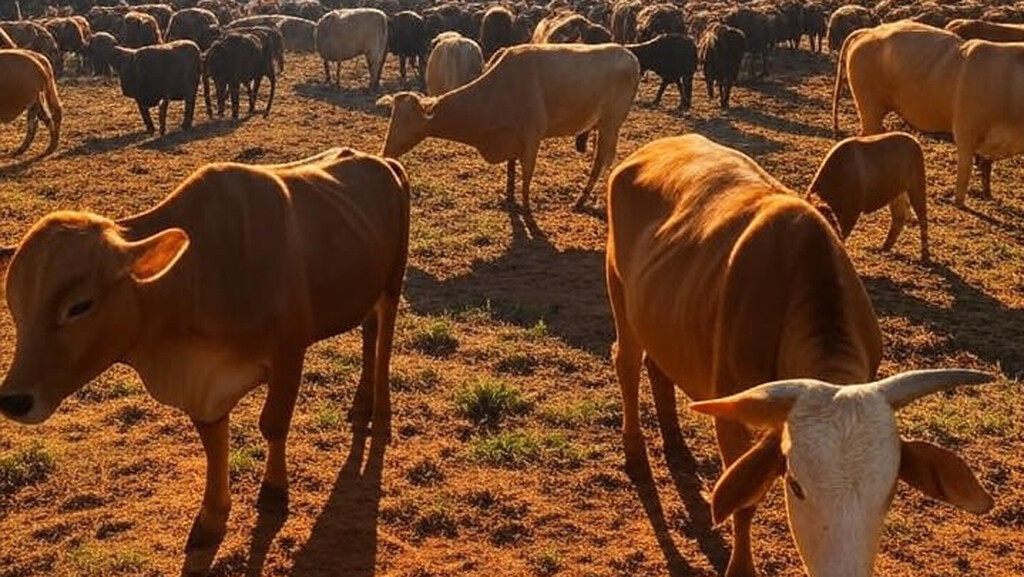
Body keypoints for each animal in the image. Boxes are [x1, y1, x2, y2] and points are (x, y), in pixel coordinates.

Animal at [0, 147, 410, 571]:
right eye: (14, 305)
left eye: (79, 306)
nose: (14, 400)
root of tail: (382, 161)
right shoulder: (203, 383)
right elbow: (213, 443)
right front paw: (212, 519)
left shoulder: (288, 352)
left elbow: (273, 425)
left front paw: (274, 491)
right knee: (369, 332)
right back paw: (360, 405)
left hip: (392, 284)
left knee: (383, 343)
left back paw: (380, 413)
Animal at [378, 43, 639, 212]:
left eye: (406, 121)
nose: (385, 152)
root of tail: (628, 54)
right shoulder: (512, 138)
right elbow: (511, 170)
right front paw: (510, 197)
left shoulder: (532, 138)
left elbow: (526, 174)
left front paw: (525, 206)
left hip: (611, 124)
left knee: (602, 161)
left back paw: (584, 201)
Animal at [807, 132, 929, 262]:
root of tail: (915, 141)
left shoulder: (852, 213)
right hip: (897, 195)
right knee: (899, 218)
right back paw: (883, 249)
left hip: (917, 187)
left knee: (922, 218)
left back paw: (924, 256)